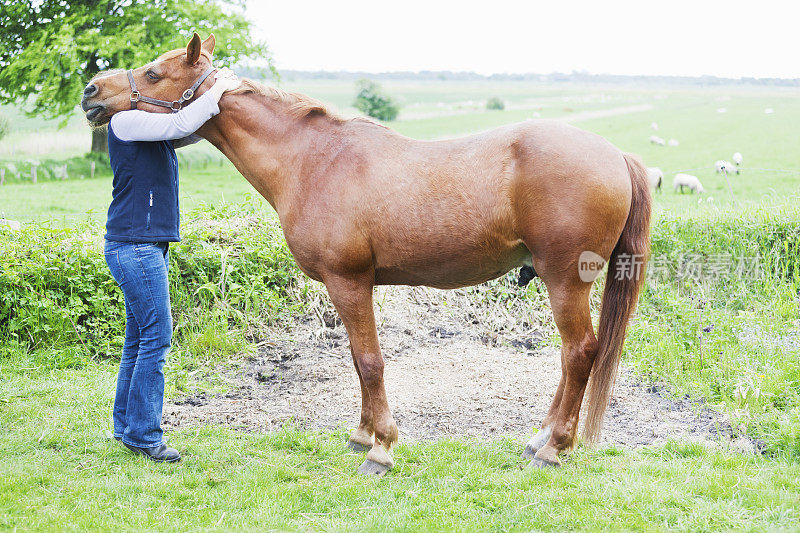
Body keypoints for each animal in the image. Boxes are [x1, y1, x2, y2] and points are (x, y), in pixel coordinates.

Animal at [83, 33, 648, 474]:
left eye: (153, 72)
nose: (91, 92)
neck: (313, 161)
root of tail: (615, 154)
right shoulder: (349, 288)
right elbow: (358, 362)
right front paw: (362, 434)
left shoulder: (348, 281)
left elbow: (371, 361)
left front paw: (381, 447)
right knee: (573, 358)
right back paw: (539, 438)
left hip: (564, 280)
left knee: (579, 353)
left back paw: (553, 448)